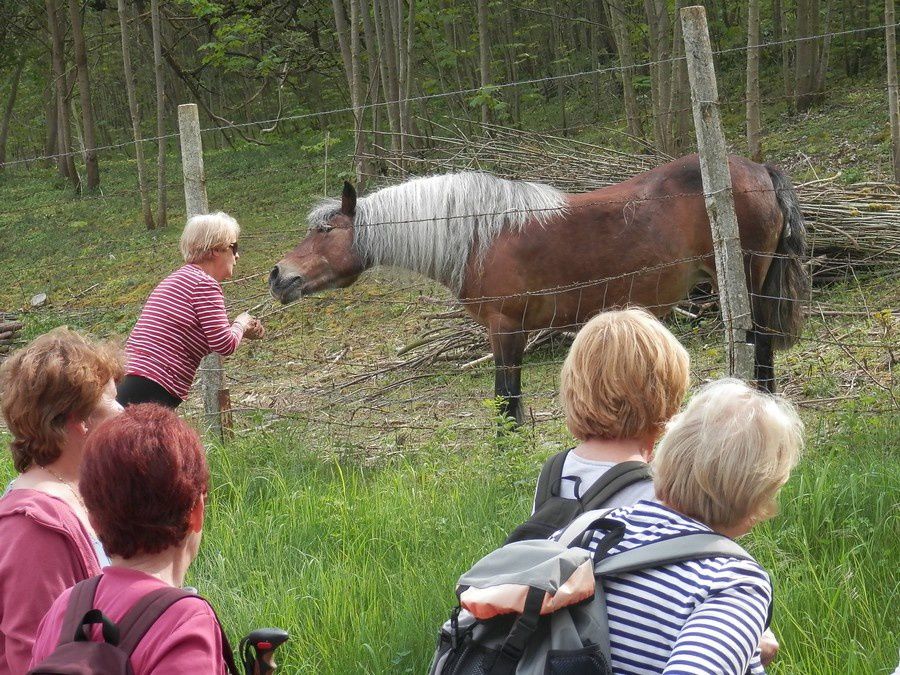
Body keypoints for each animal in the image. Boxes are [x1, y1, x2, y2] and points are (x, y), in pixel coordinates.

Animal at [268, 156, 808, 426]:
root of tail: (757, 169)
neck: (477, 234)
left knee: (759, 347)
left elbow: (506, 402)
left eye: (324, 231)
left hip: (746, 283)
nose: (278, 275)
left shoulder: (506, 331)